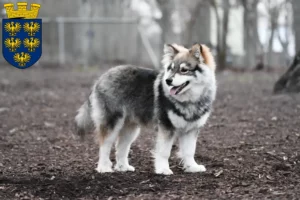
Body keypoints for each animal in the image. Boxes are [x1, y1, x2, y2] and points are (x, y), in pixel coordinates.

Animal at [74, 43, 217, 174]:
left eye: (184, 70)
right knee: (105, 145)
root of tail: (101, 77)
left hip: (130, 128)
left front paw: (192, 167)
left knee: (121, 147)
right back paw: (103, 168)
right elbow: (164, 152)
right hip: (112, 123)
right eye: (171, 69)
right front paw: (163, 169)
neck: (189, 100)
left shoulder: (191, 129)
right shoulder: (166, 127)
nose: (168, 81)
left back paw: (123, 167)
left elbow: (189, 151)